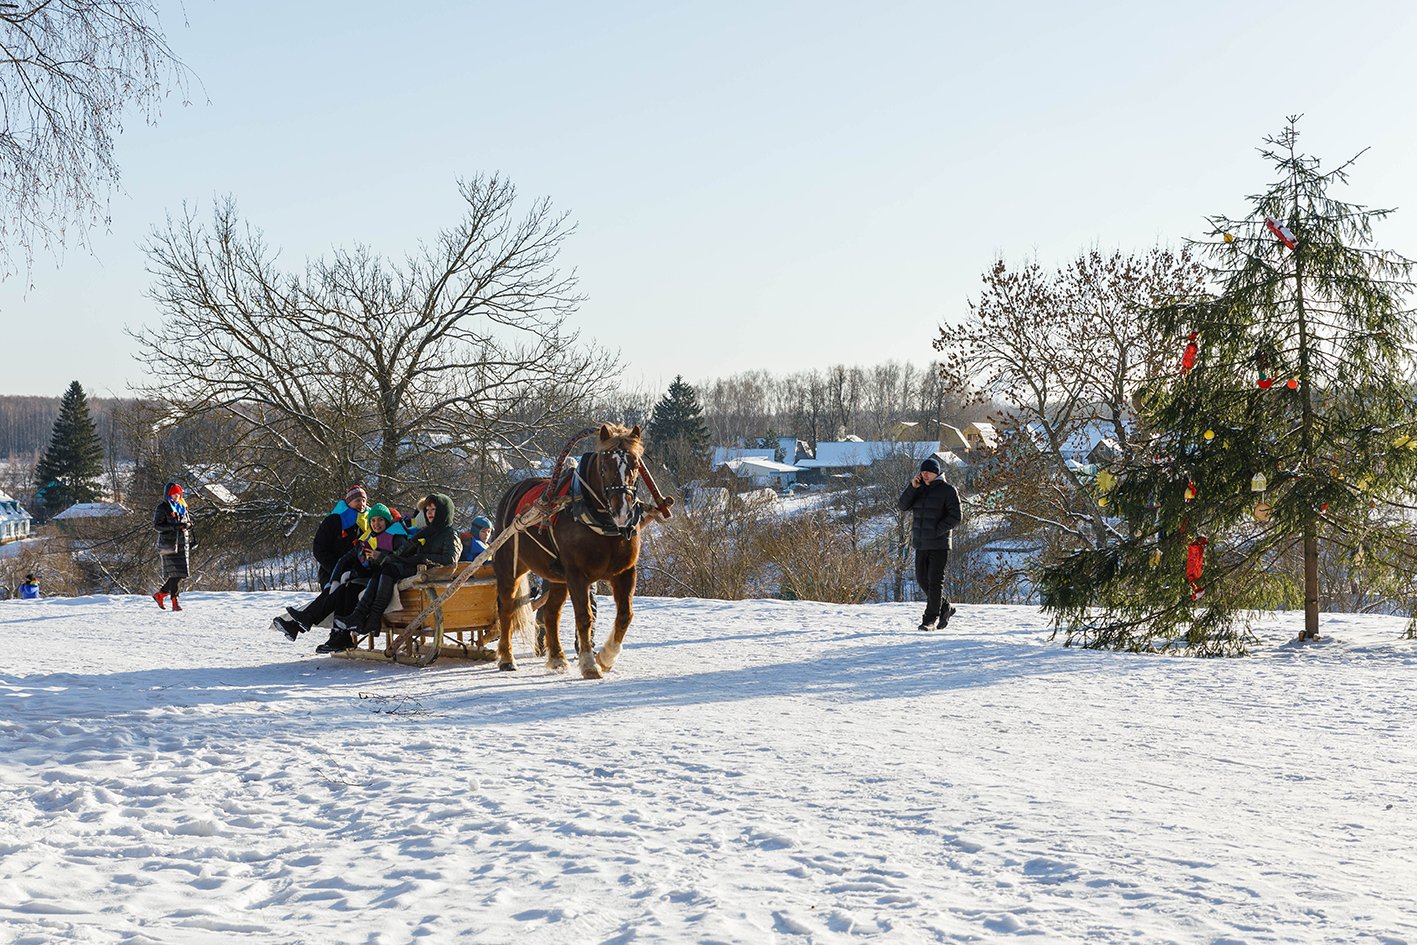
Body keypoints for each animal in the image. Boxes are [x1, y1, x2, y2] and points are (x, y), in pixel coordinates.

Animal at [487, 422, 643, 680]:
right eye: (604, 465)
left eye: (636, 464)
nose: (622, 511)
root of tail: (514, 489)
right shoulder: (578, 574)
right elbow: (584, 617)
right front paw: (590, 665)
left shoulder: (625, 572)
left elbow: (624, 615)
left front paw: (606, 657)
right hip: (509, 567)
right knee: (507, 609)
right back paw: (507, 658)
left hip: (557, 578)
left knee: (550, 614)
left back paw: (557, 658)